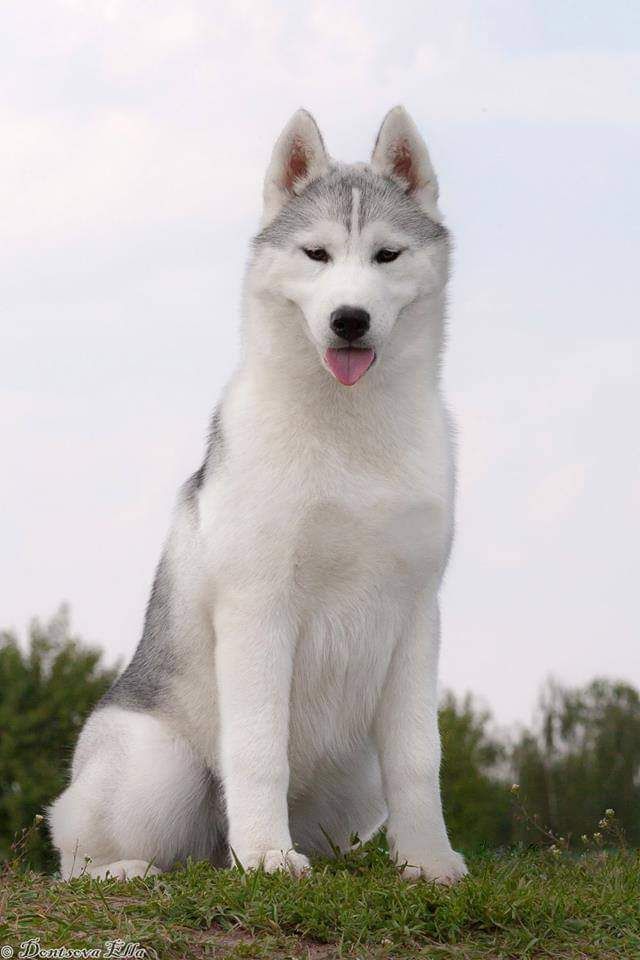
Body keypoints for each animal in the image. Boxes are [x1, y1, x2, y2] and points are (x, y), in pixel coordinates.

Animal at [49, 106, 467, 885]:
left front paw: (427, 861)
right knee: (78, 856)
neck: (348, 435)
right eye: (317, 254)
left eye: (386, 256)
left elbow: (419, 760)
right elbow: (257, 750)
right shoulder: (259, 607)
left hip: (354, 781)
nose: (349, 319)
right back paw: (150, 869)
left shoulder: (417, 612)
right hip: (159, 767)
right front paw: (269, 856)